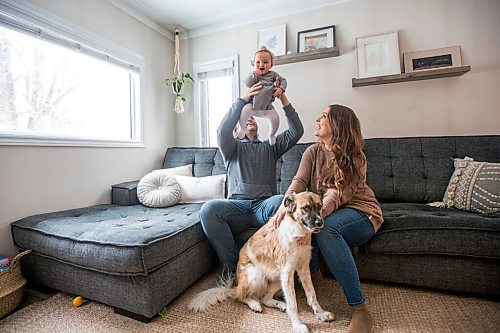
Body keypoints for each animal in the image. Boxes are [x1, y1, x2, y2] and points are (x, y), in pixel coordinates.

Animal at [187, 191, 332, 330]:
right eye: (306, 208)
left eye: (319, 206)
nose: (320, 223)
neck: (296, 230)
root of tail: (237, 285)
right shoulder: (287, 271)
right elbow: (293, 302)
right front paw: (297, 324)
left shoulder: (303, 268)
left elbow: (312, 293)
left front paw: (320, 313)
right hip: (257, 275)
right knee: (240, 296)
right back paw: (254, 304)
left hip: (277, 278)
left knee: (265, 298)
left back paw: (280, 304)